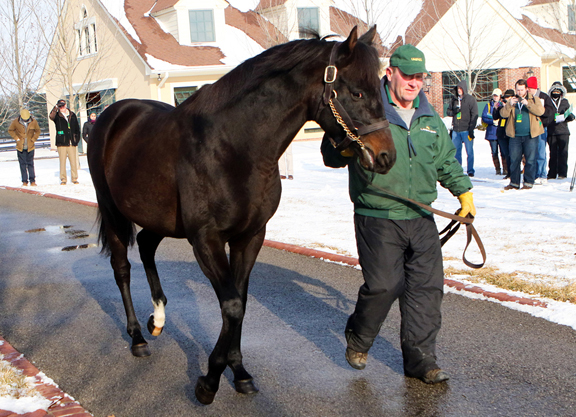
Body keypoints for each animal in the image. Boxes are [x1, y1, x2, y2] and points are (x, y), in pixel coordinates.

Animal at [88, 26, 396, 404]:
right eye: (356, 91)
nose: (386, 156)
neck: (233, 147)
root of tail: (112, 115)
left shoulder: (249, 237)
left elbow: (240, 303)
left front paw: (239, 372)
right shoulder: (206, 240)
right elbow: (232, 306)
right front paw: (209, 381)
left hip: (158, 217)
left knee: (146, 246)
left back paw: (157, 318)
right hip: (113, 212)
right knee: (122, 269)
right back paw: (137, 337)